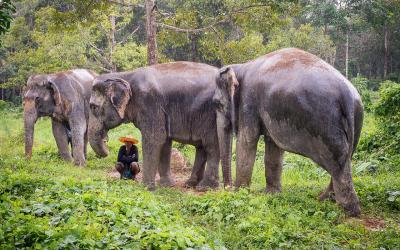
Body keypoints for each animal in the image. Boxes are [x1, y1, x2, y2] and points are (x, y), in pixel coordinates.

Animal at [87, 61, 231, 190]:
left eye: (93, 107)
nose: (106, 141)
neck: (125, 75)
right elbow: (165, 143)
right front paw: (166, 185)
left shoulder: (149, 104)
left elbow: (154, 140)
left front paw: (147, 188)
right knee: (201, 147)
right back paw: (190, 184)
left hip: (212, 116)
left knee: (211, 146)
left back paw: (205, 187)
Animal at [214, 48, 364, 217]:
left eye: (217, 103)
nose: (227, 189)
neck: (241, 67)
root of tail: (347, 95)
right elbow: (273, 146)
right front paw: (272, 194)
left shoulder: (249, 102)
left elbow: (247, 141)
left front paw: (240, 194)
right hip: (357, 119)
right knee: (346, 159)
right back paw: (325, 199)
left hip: (327, 124)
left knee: (338, 164)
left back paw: (347, 211)